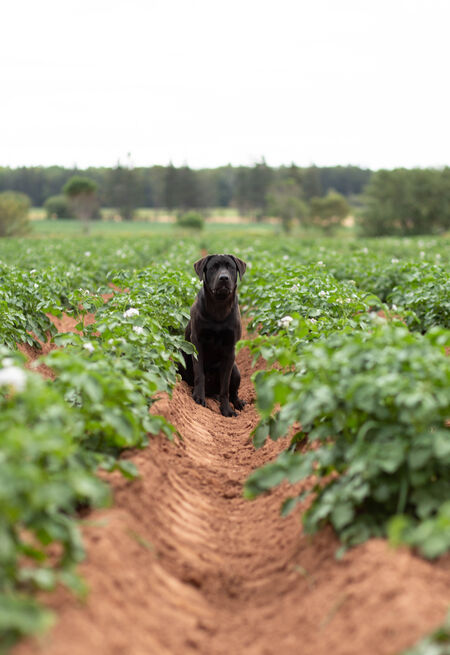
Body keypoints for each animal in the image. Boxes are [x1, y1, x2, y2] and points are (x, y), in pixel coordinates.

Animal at [179, 254, 248, 418]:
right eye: (213, 267)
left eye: (230, 267)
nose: (224, 278)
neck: (219, 306)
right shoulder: (197, 342)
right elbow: (199, 374)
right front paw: (198, 397)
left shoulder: (230, 349)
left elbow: (225, 387)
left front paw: (227, 410)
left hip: (236, 370)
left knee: (233, 392)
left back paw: (238, 404)